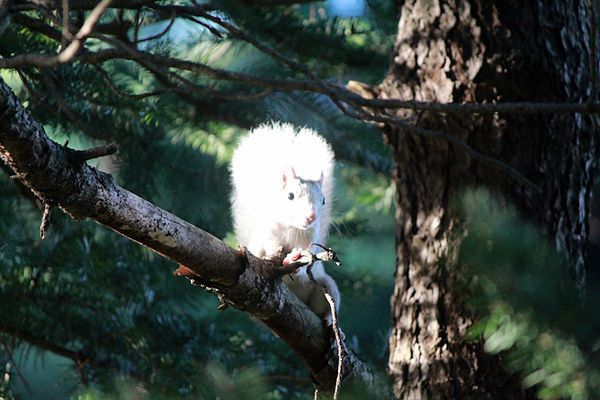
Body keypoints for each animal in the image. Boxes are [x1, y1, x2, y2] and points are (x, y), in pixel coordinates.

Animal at [230, 122, 340, 324]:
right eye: (290, 196)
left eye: (323, 201)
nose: (311, 217)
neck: (292, 228)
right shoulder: (268, 232)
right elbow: (267, 248)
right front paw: (278, 255)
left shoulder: (310, 242)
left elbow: (306, 262)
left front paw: (294, 260)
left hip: (325, 286)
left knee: (328, 302)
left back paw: (330, 321)